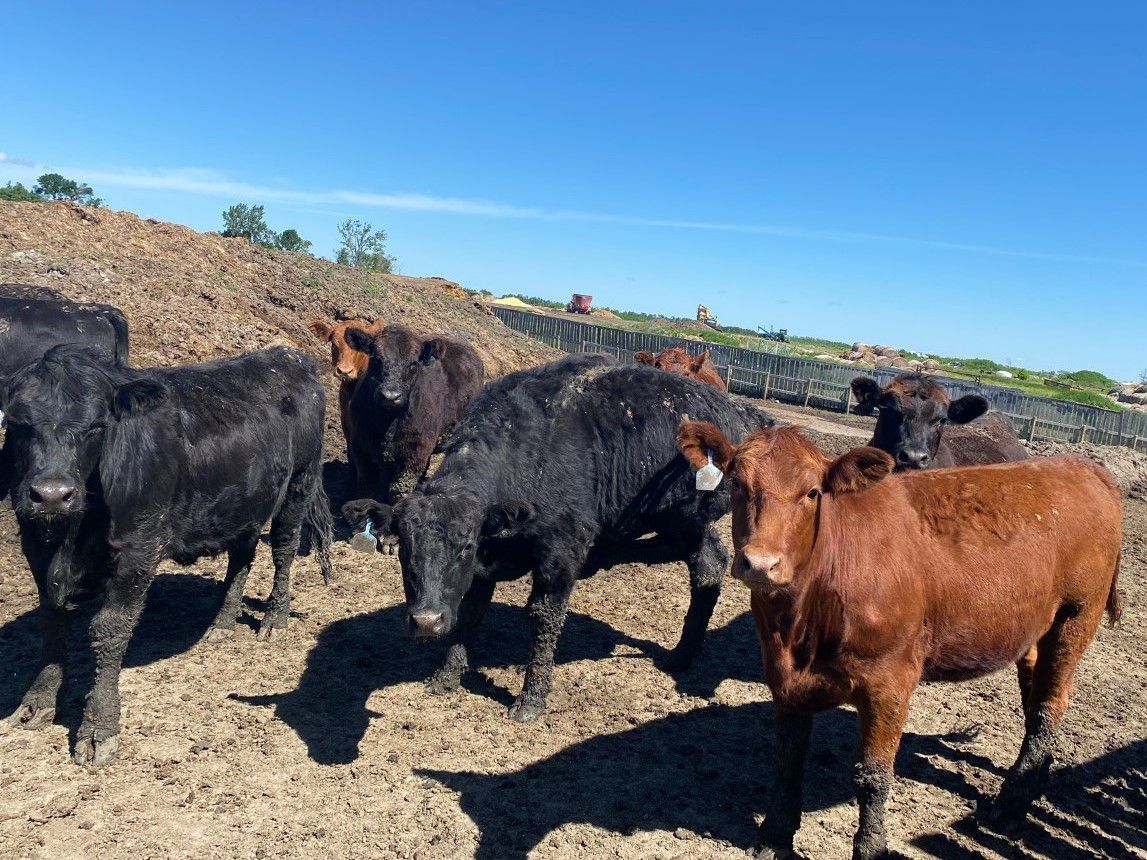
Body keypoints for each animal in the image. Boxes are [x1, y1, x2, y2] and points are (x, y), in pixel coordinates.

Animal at [2, 345, 334, 766]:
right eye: (19, 423)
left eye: (97, 426)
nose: (51, 495)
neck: (69, 536)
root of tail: (287, 355)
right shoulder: (35, 544)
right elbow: (52, 622)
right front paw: (36, 703)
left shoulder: (139, 548)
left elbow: (109, 630)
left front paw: (99, 729)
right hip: (243, 503)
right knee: (241, 558)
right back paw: (221, 624)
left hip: (299, 483)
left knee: (283, 548)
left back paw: (275, 619)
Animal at [341, 324, 484, 502]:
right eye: (376, 359)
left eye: (413, 364)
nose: (390, 396)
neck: (388, 423)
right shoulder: (360, 446)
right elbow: (368, 488)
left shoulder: (415, 454)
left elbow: (399, 490)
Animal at [342, 353, 773, 722]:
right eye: (403, 549)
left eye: (464, 545)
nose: (427, 621)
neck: (526, 453)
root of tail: (740, 411)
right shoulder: (484, 563)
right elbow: (471, 612)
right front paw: (447, 676)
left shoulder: (560, 550)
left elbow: (543, 616)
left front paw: (530, 699)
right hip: (684, 523)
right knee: (707, 564)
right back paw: (680, 654)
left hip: (686, 515)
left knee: (704, 564)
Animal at [677, 422, 1123, 859]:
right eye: (737, 483)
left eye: (812, 492)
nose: (761, 564)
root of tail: (1081, 465)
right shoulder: (783, 677)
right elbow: (788, 759)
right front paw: (774, 838)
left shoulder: (890, 681)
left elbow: (873, 776)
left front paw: (871, 849)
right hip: (1033, 630)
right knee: (1036, 701)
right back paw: (1030, 787)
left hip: (1076, 617)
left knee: (1050, 706)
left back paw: (1010, 808)